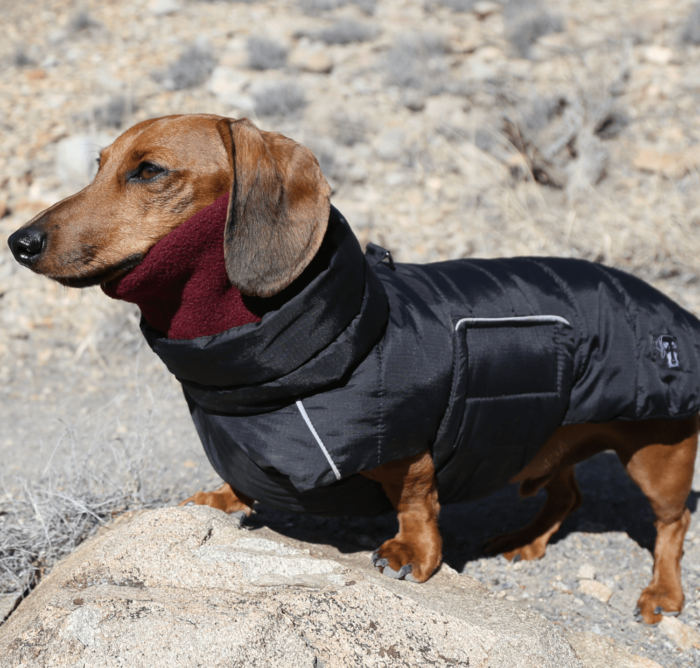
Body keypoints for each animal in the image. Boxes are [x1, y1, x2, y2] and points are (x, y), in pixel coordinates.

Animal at [8, 113, 696, 628]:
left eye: (148, 171)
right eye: (98, 164)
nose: (19, 242)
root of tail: (670, 307)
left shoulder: (407, 441)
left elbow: (416, 499)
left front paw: (412, 551)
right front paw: (223, 498)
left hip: (657, 451)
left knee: (672, 523)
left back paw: (662, 594)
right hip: (546, 437)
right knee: (567, 493)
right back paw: (525, 542)